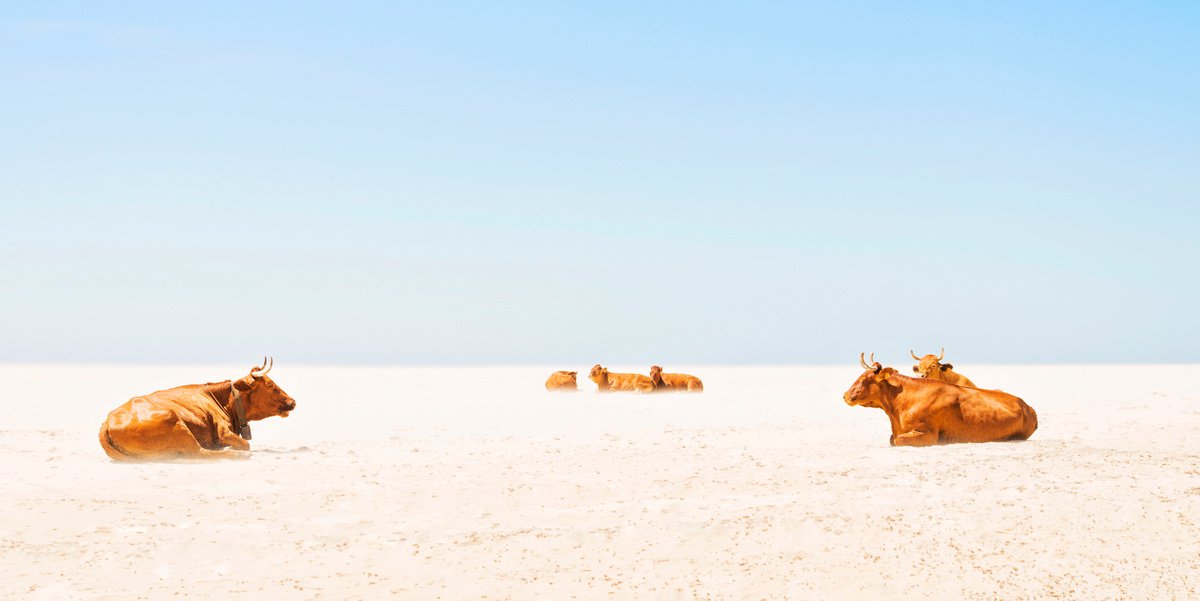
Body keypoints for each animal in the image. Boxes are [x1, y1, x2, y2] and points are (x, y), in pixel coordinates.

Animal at [99, 357, 297, 461]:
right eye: (271, 385)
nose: (293, 401)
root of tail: (107, 422)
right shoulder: (223, 432)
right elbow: (245, 444)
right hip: (176, 423)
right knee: (201, 453)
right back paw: (234, 454)